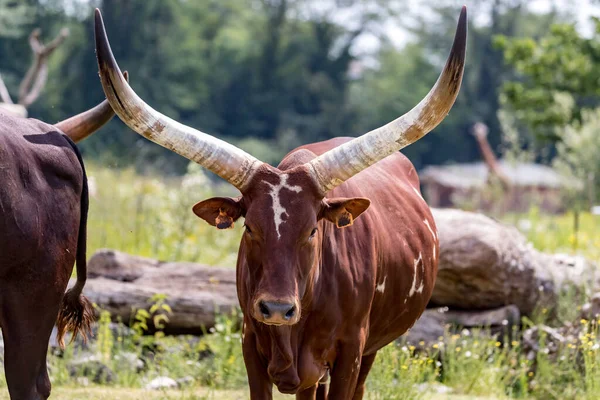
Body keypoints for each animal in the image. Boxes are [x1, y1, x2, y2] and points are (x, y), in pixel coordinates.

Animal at [95, 7, 468, 398]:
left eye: (312, 232)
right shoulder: (251, 344)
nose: (276, 308)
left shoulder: (350, 351)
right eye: (249, 228)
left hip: (368, 352)